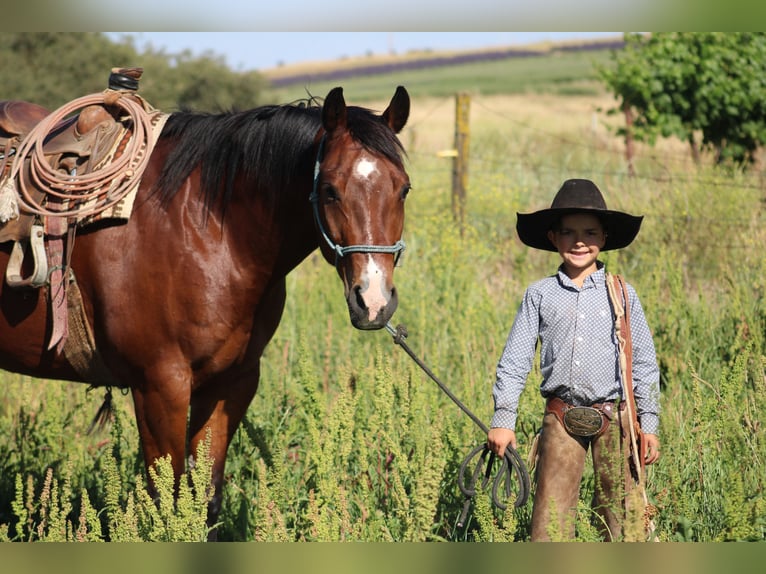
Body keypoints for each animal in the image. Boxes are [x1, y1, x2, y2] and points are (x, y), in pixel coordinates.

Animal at [0, 86, 414, 536]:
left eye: (404, 189)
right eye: (330, 191)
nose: (373, 300)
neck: (209, 230)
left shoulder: (230, 383)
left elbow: (205, 500)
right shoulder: (159, 387)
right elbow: (169, 506)